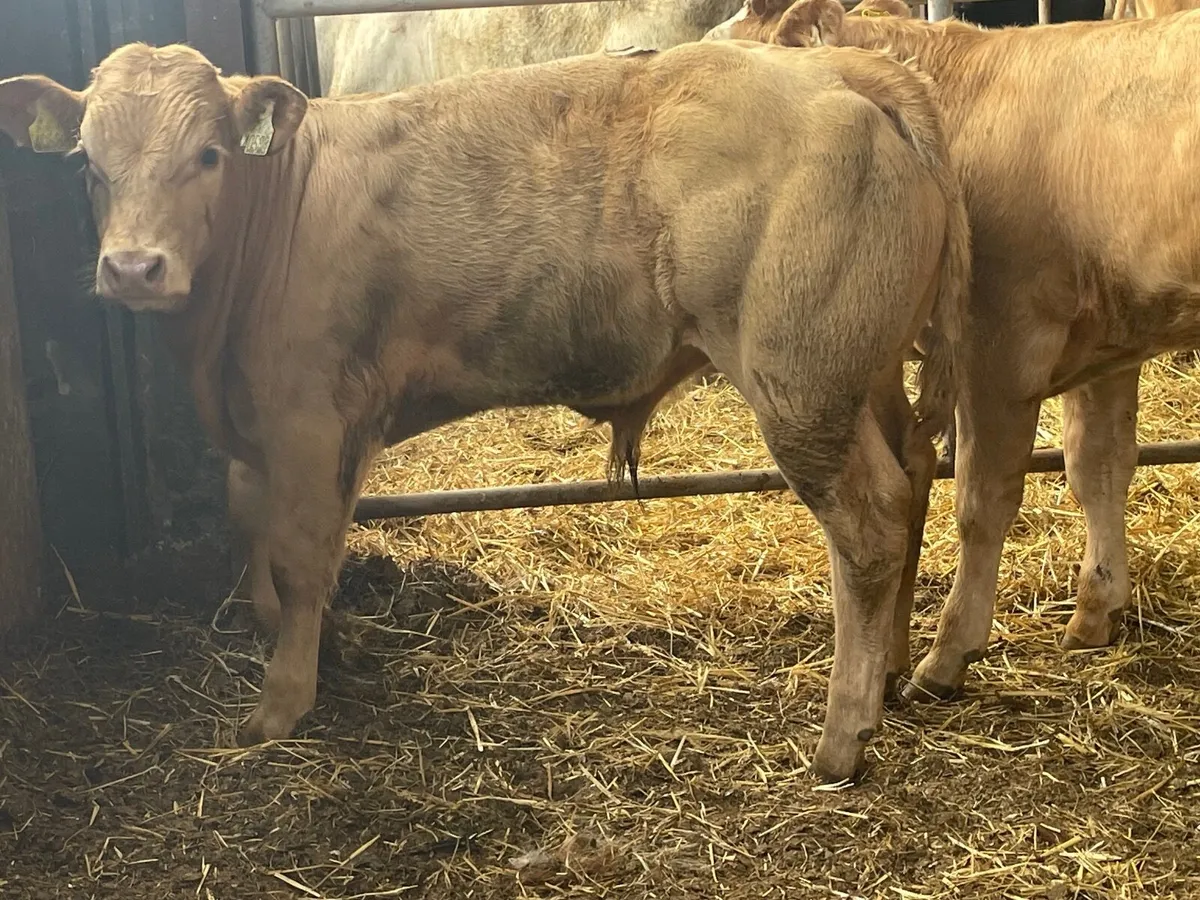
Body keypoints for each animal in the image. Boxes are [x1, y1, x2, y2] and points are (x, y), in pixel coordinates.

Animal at [0, 36, 968, 783]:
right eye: (87, 163)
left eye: (208, 155)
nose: (134, 267)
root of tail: (844, 67)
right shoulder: (286, 425)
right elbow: (264, 527)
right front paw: (305, 638)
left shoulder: (309, 414)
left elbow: (305, 553)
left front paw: (280, 704)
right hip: (863, 375)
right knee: (914, 479)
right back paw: (889, 675)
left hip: (801, 383)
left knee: (867, 528)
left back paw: (843, 738)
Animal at [707, 0, 1200, 702]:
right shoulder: (1113, 336)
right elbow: (1097, 467)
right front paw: (1094, 611)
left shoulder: (999, 340)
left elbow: (981, 498)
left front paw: (947, 654)